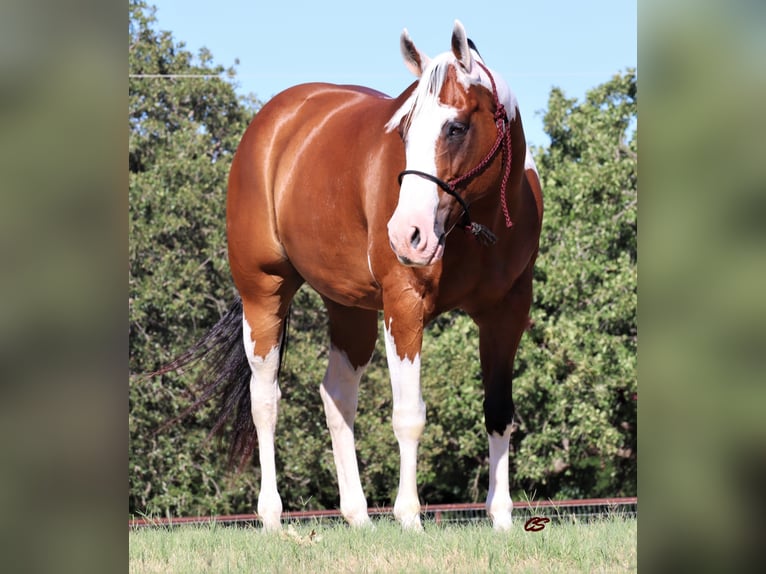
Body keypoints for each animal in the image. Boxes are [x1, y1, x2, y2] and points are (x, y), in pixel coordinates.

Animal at [160, 20, 544, 532]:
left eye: (456, 127)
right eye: (404, 130)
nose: (407, 235)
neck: (477, 223)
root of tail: (276, 121)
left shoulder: (506, 314)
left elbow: (498, 411)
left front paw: (502, 519)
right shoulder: (404, 307)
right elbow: (409, 415)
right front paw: (410, 518)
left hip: (349, 308)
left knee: (337, 395)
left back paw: (358, 515)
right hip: (263, 294)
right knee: (266, 400)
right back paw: (272, 517)